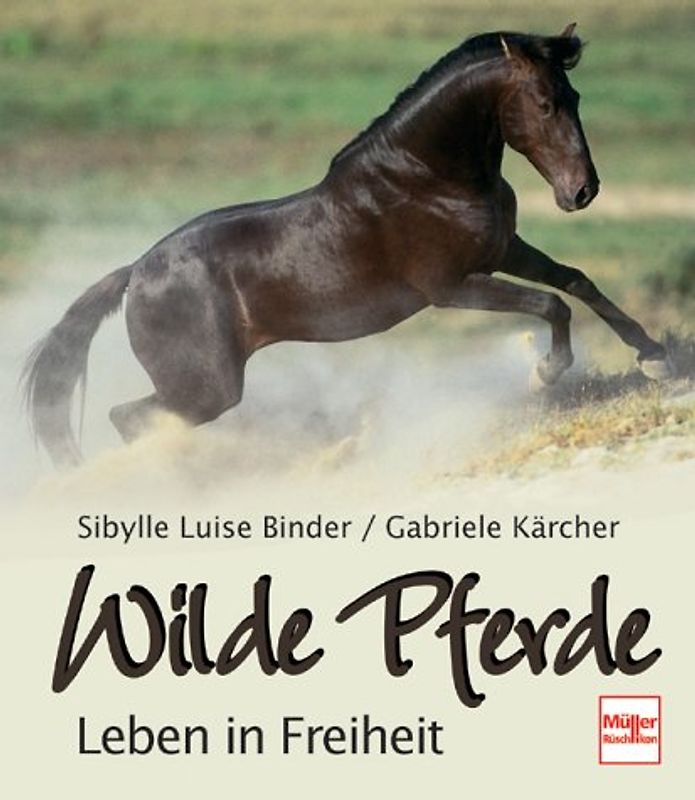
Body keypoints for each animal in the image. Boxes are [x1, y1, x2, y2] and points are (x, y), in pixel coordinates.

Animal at [24, 24, 671, 466]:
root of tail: (136, 272)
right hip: (206, 386)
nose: (582, 191)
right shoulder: (451, 287)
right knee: (130, 417)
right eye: (544, 103)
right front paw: (544, 372)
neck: (427, 176)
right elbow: (551, 304)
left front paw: (655, 356)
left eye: (577, 98)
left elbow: (576, 281)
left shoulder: (502, 251)